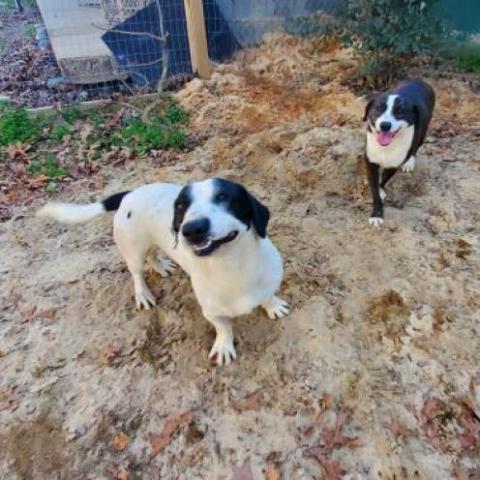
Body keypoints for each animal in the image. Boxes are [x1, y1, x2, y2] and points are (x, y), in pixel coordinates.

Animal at [37, 179, 288, 364]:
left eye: (223, 197)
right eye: (181, 206)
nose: (191, 229)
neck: (231, 265)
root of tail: (129, 193)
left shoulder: (269, 283)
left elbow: (268, 297)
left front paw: (273, 306)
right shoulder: (212, 312)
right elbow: (223, 327)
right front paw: (224, 345)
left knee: (152, 254)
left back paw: (159, 265)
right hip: (133, 251)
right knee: (137, 272)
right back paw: (143, 293)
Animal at [364, 79, 436, 227]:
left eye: (400, 112)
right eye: (378, 108)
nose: (385, 125)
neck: (387, 147)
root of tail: (421, 81)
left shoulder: (393, 165)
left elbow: (384, 179)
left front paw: (381, 190)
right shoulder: (370, 163)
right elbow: (375, 189)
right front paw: (377, 213)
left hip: (423, 131)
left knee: (416, 147)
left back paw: (410, 162)